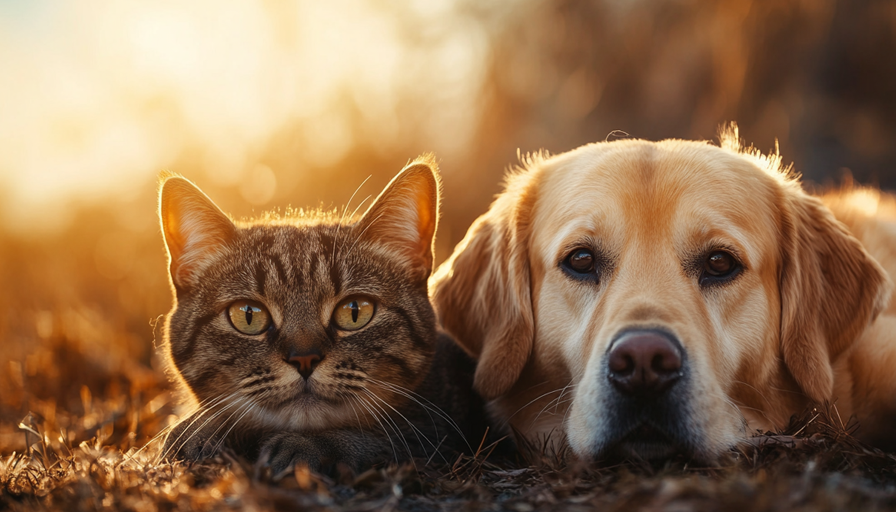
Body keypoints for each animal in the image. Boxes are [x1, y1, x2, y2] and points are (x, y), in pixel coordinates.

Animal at [155, 158, 494, 478]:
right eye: (248, 316)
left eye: (355, 311)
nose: (304, 358)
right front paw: (199, 428)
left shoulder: (440, 428)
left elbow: (384, 436)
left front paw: (306, 445)